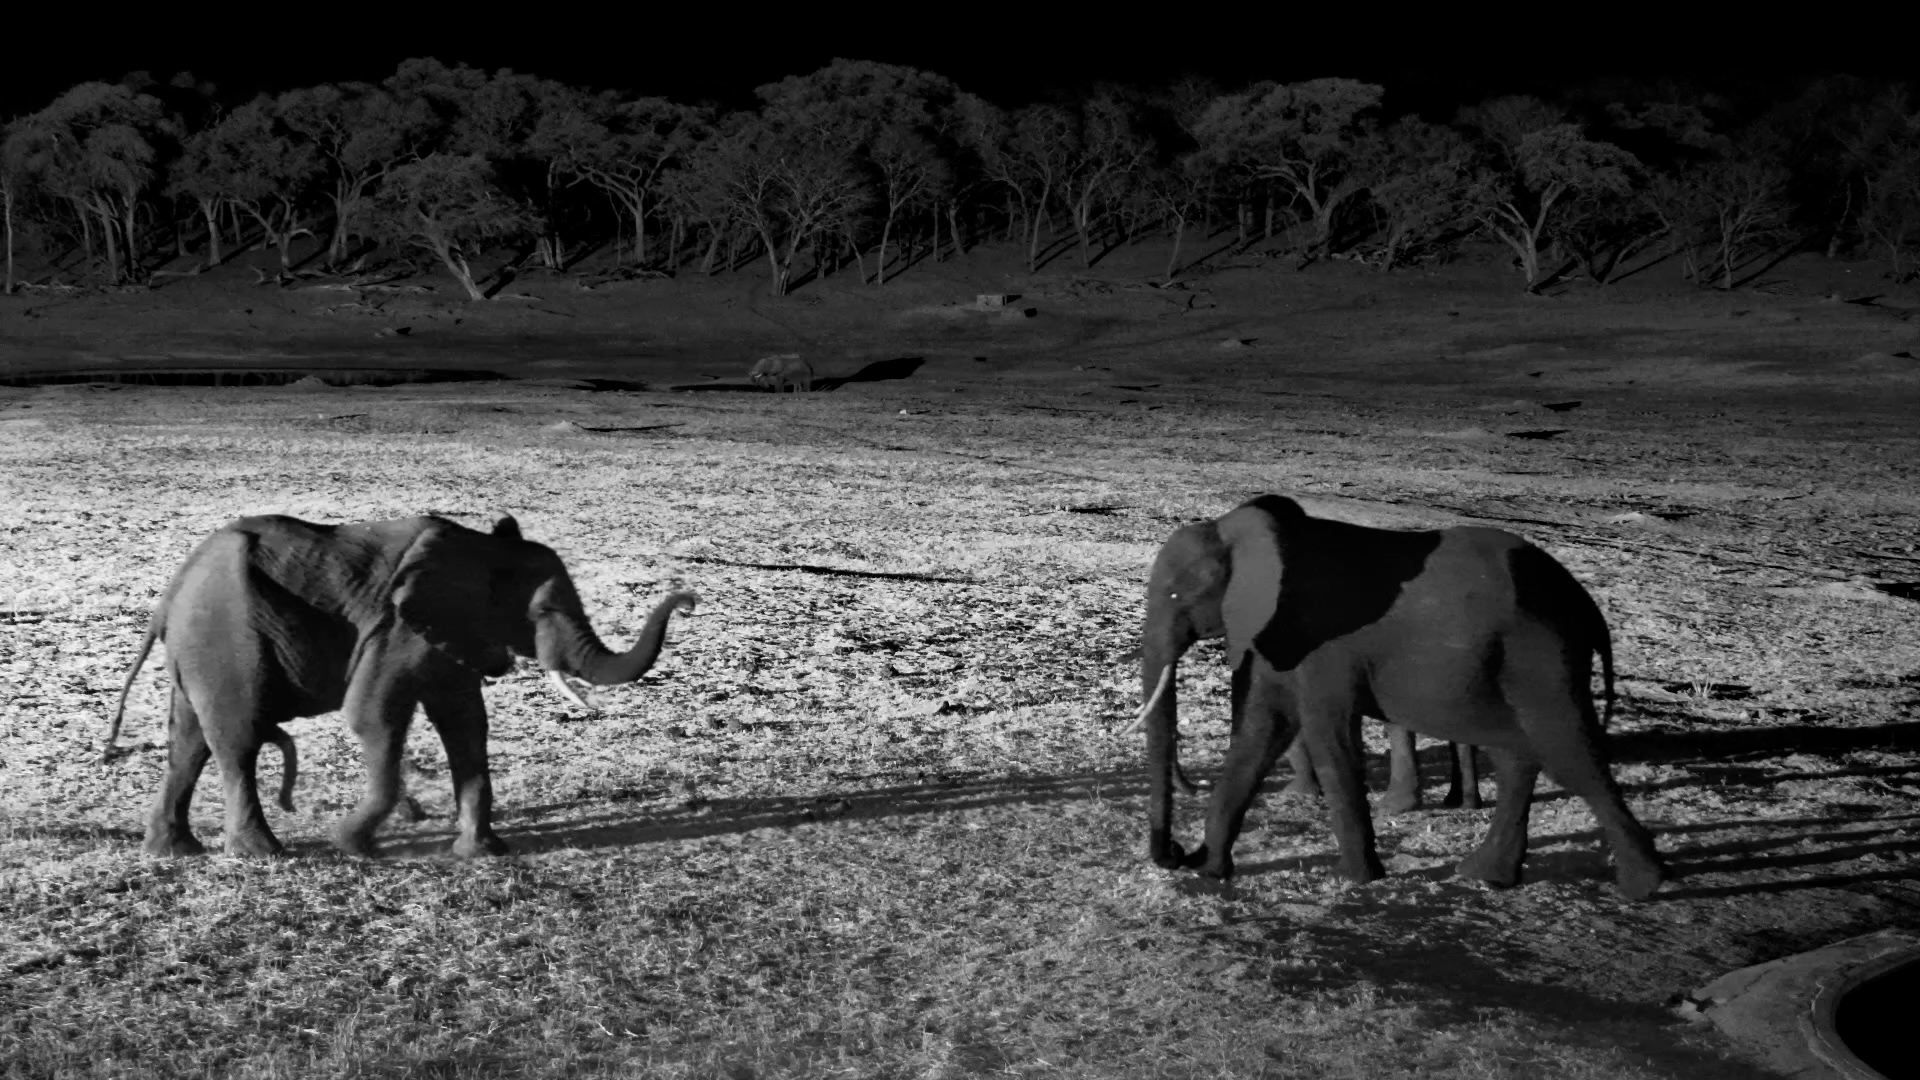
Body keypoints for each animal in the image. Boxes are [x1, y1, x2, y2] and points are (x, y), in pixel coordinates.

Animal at [103, 513, 698, 859]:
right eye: (545, 611)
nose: (688, 599)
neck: (479, 550)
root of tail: (170, 594)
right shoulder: (397, 630)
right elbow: (375, 716)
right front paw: (352, 846)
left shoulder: (452, 634)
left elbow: (466, 723)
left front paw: (484, 852)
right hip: (224, 637)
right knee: (237, 739)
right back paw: (264, 855)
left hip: (201, 646)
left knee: (189, 741)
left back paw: (173, 851)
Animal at [1137, 495, 1664, 901]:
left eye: (1174, 596)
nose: (1180, 853)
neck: (1241, 534)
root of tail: (1586, 605)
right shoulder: (1273, 637)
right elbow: (1258, 735)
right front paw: (1213, 873)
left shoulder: (1323, 648)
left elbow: (1328, 739)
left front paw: (1357, 880)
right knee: (1518, 757)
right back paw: (1485, 876)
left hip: (1542, 654)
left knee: (1571, 753)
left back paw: (1643, 888)